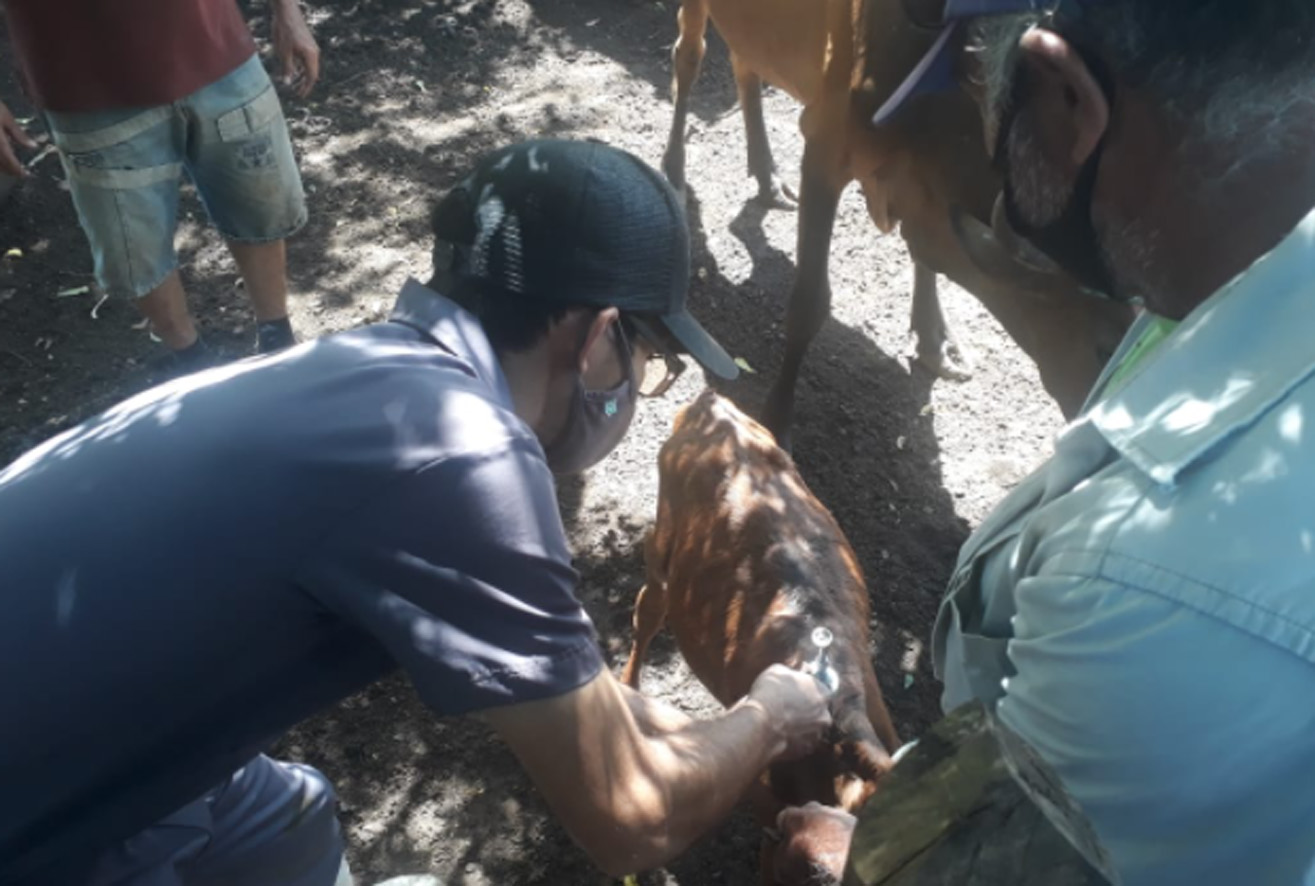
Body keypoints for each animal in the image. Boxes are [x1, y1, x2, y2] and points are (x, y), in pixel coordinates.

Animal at [662, 0, 1136, 441]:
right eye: (1103, 349)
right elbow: (809, 302)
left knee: (745, 61)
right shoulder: (827, 146)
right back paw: (673, 173)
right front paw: (777, 423)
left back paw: (767, 176)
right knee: (689, 53)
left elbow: (924, 253)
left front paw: (934, 341)